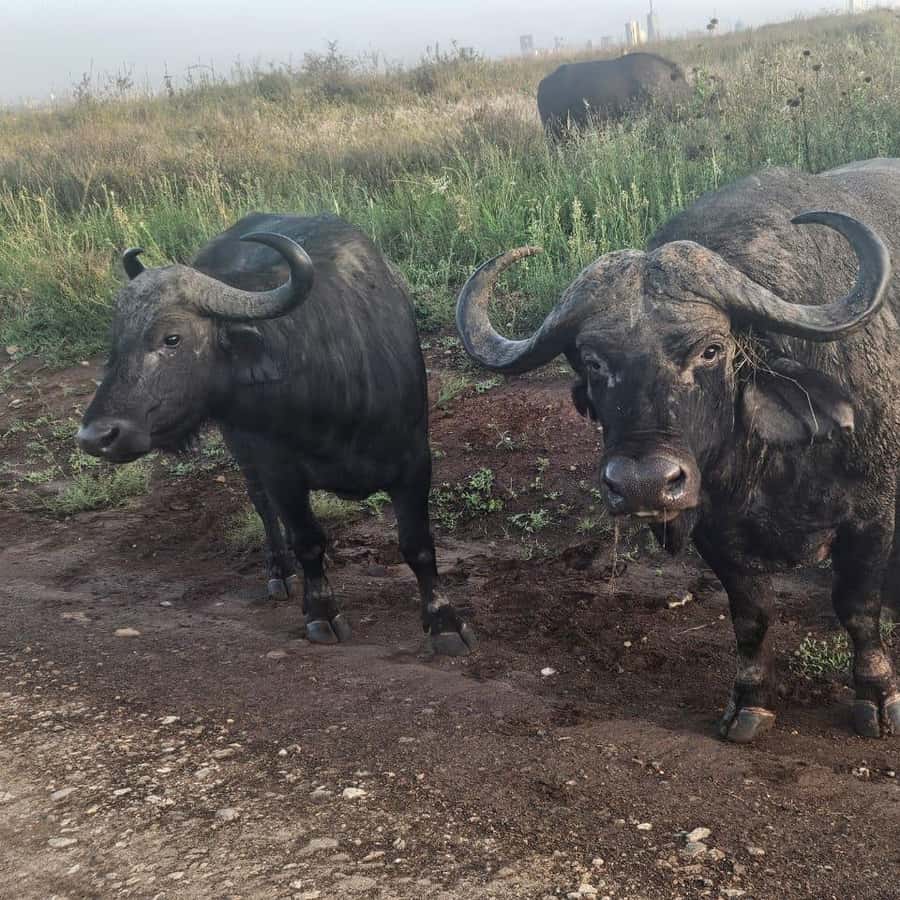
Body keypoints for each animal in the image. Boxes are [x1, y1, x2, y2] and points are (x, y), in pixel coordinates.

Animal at [77, 213, 475, 656]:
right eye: (117, 341)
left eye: (172, 338)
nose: (96, 436)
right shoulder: (280, 469)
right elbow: (306, 538)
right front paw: (320, 612)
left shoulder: (414, 460)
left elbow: (418, 544)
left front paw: (444, 622)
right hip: (241, 447)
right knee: (263, 506)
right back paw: (281, 570)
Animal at [456, 159, 900, 740]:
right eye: (593, 361)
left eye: (711, 350)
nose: (643, 483)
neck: (770, 461)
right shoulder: (712, 528)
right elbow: (751, 615)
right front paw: (750, 700)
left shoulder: (872, 513)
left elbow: (858, 605)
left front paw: (876, 693)